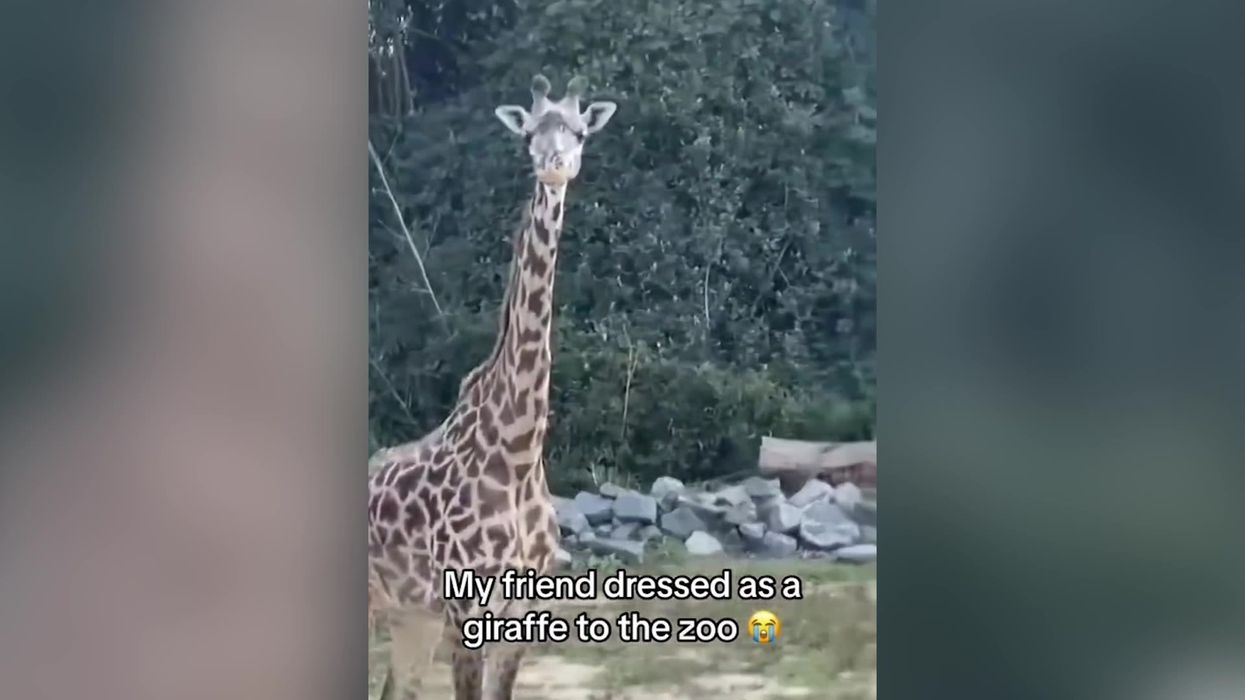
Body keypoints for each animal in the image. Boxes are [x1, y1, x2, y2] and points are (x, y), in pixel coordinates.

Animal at [367, 73, 617, 700]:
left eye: (579, 131)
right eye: (530, 133)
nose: (554, 164)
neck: (519, 448)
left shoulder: (522, 610)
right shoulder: (464, 610)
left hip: (409, 617)